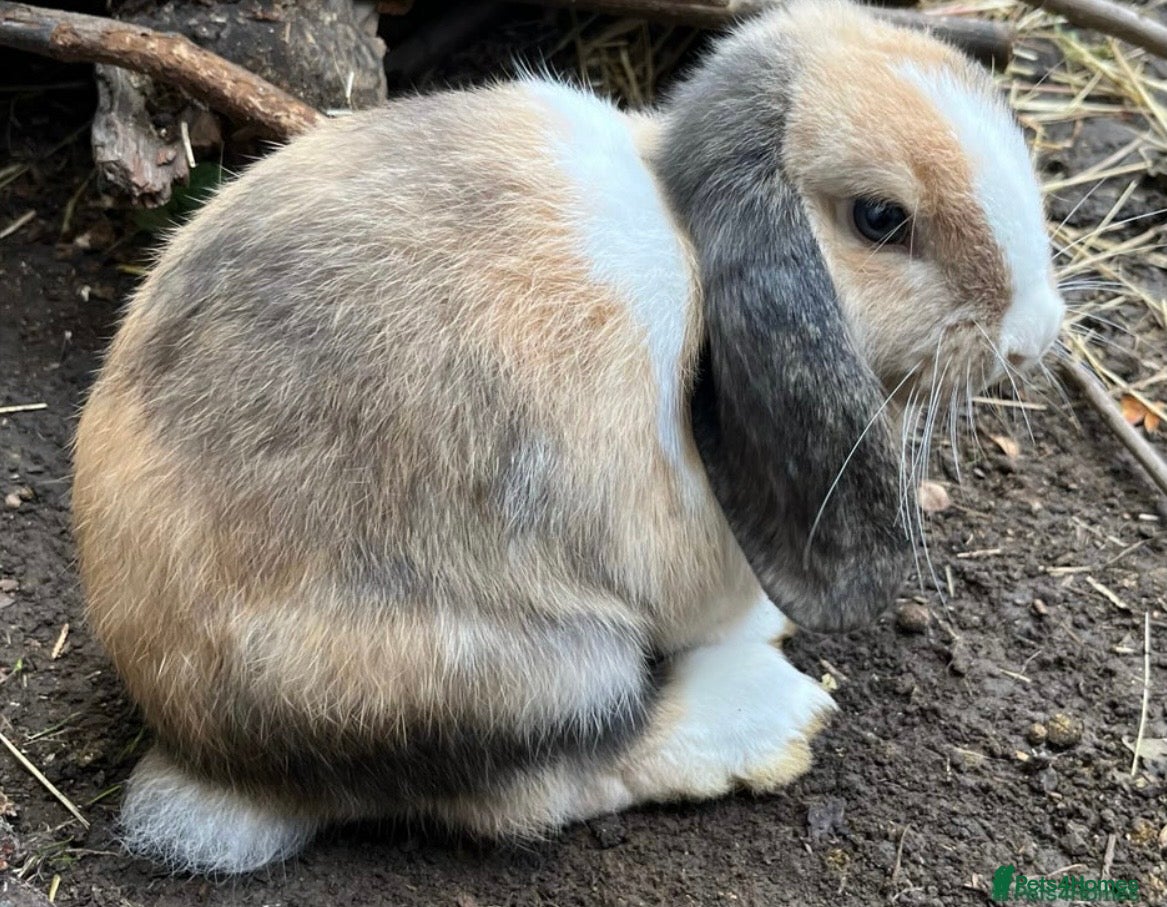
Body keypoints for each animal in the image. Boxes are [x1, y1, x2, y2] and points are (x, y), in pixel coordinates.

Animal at [72, 0, 1064, 874]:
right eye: (879, 219)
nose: (1035, 334)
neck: (685, 236)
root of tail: (197, 739)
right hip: (527, 674)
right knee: (548, 784)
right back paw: (771, 721)